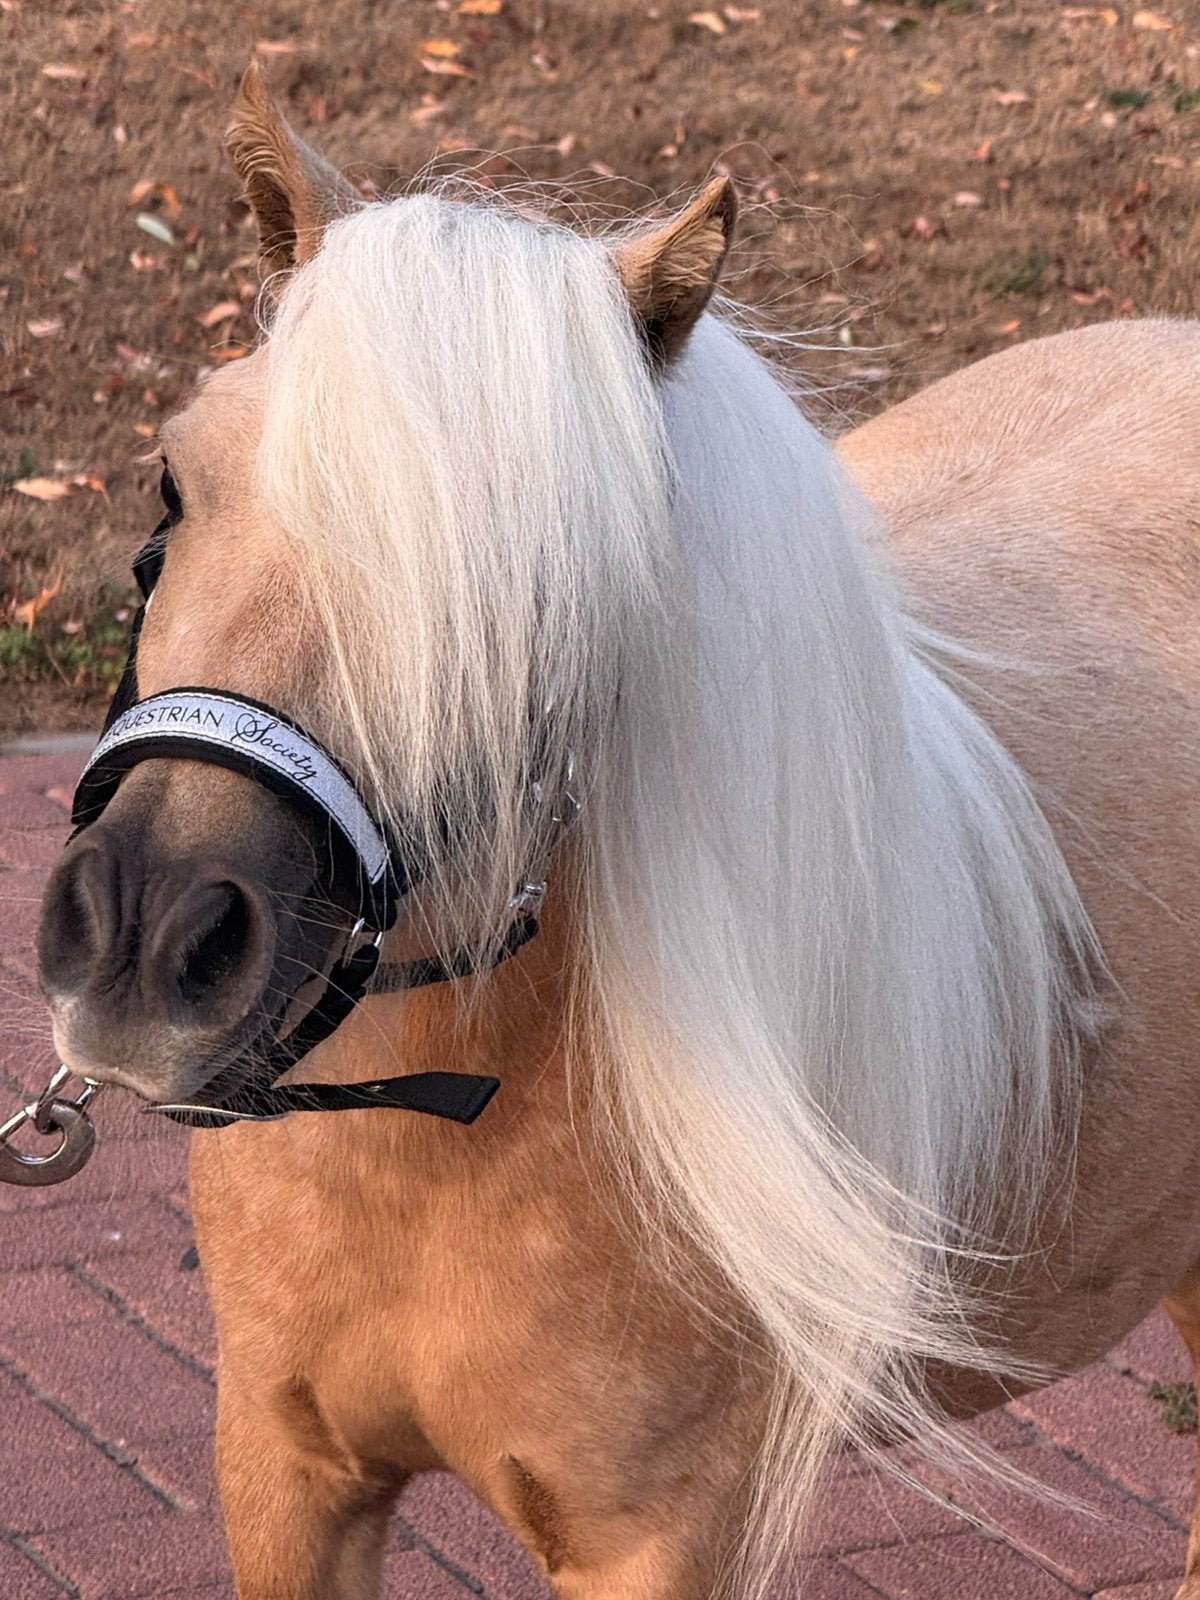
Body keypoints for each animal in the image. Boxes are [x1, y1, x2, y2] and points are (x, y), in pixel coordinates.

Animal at [32, 63, 1200, 1600]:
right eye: (173, 486)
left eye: (543, 588)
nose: (144, 938)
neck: (436, 1142)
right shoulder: (284, 1474)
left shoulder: (662, 1542)